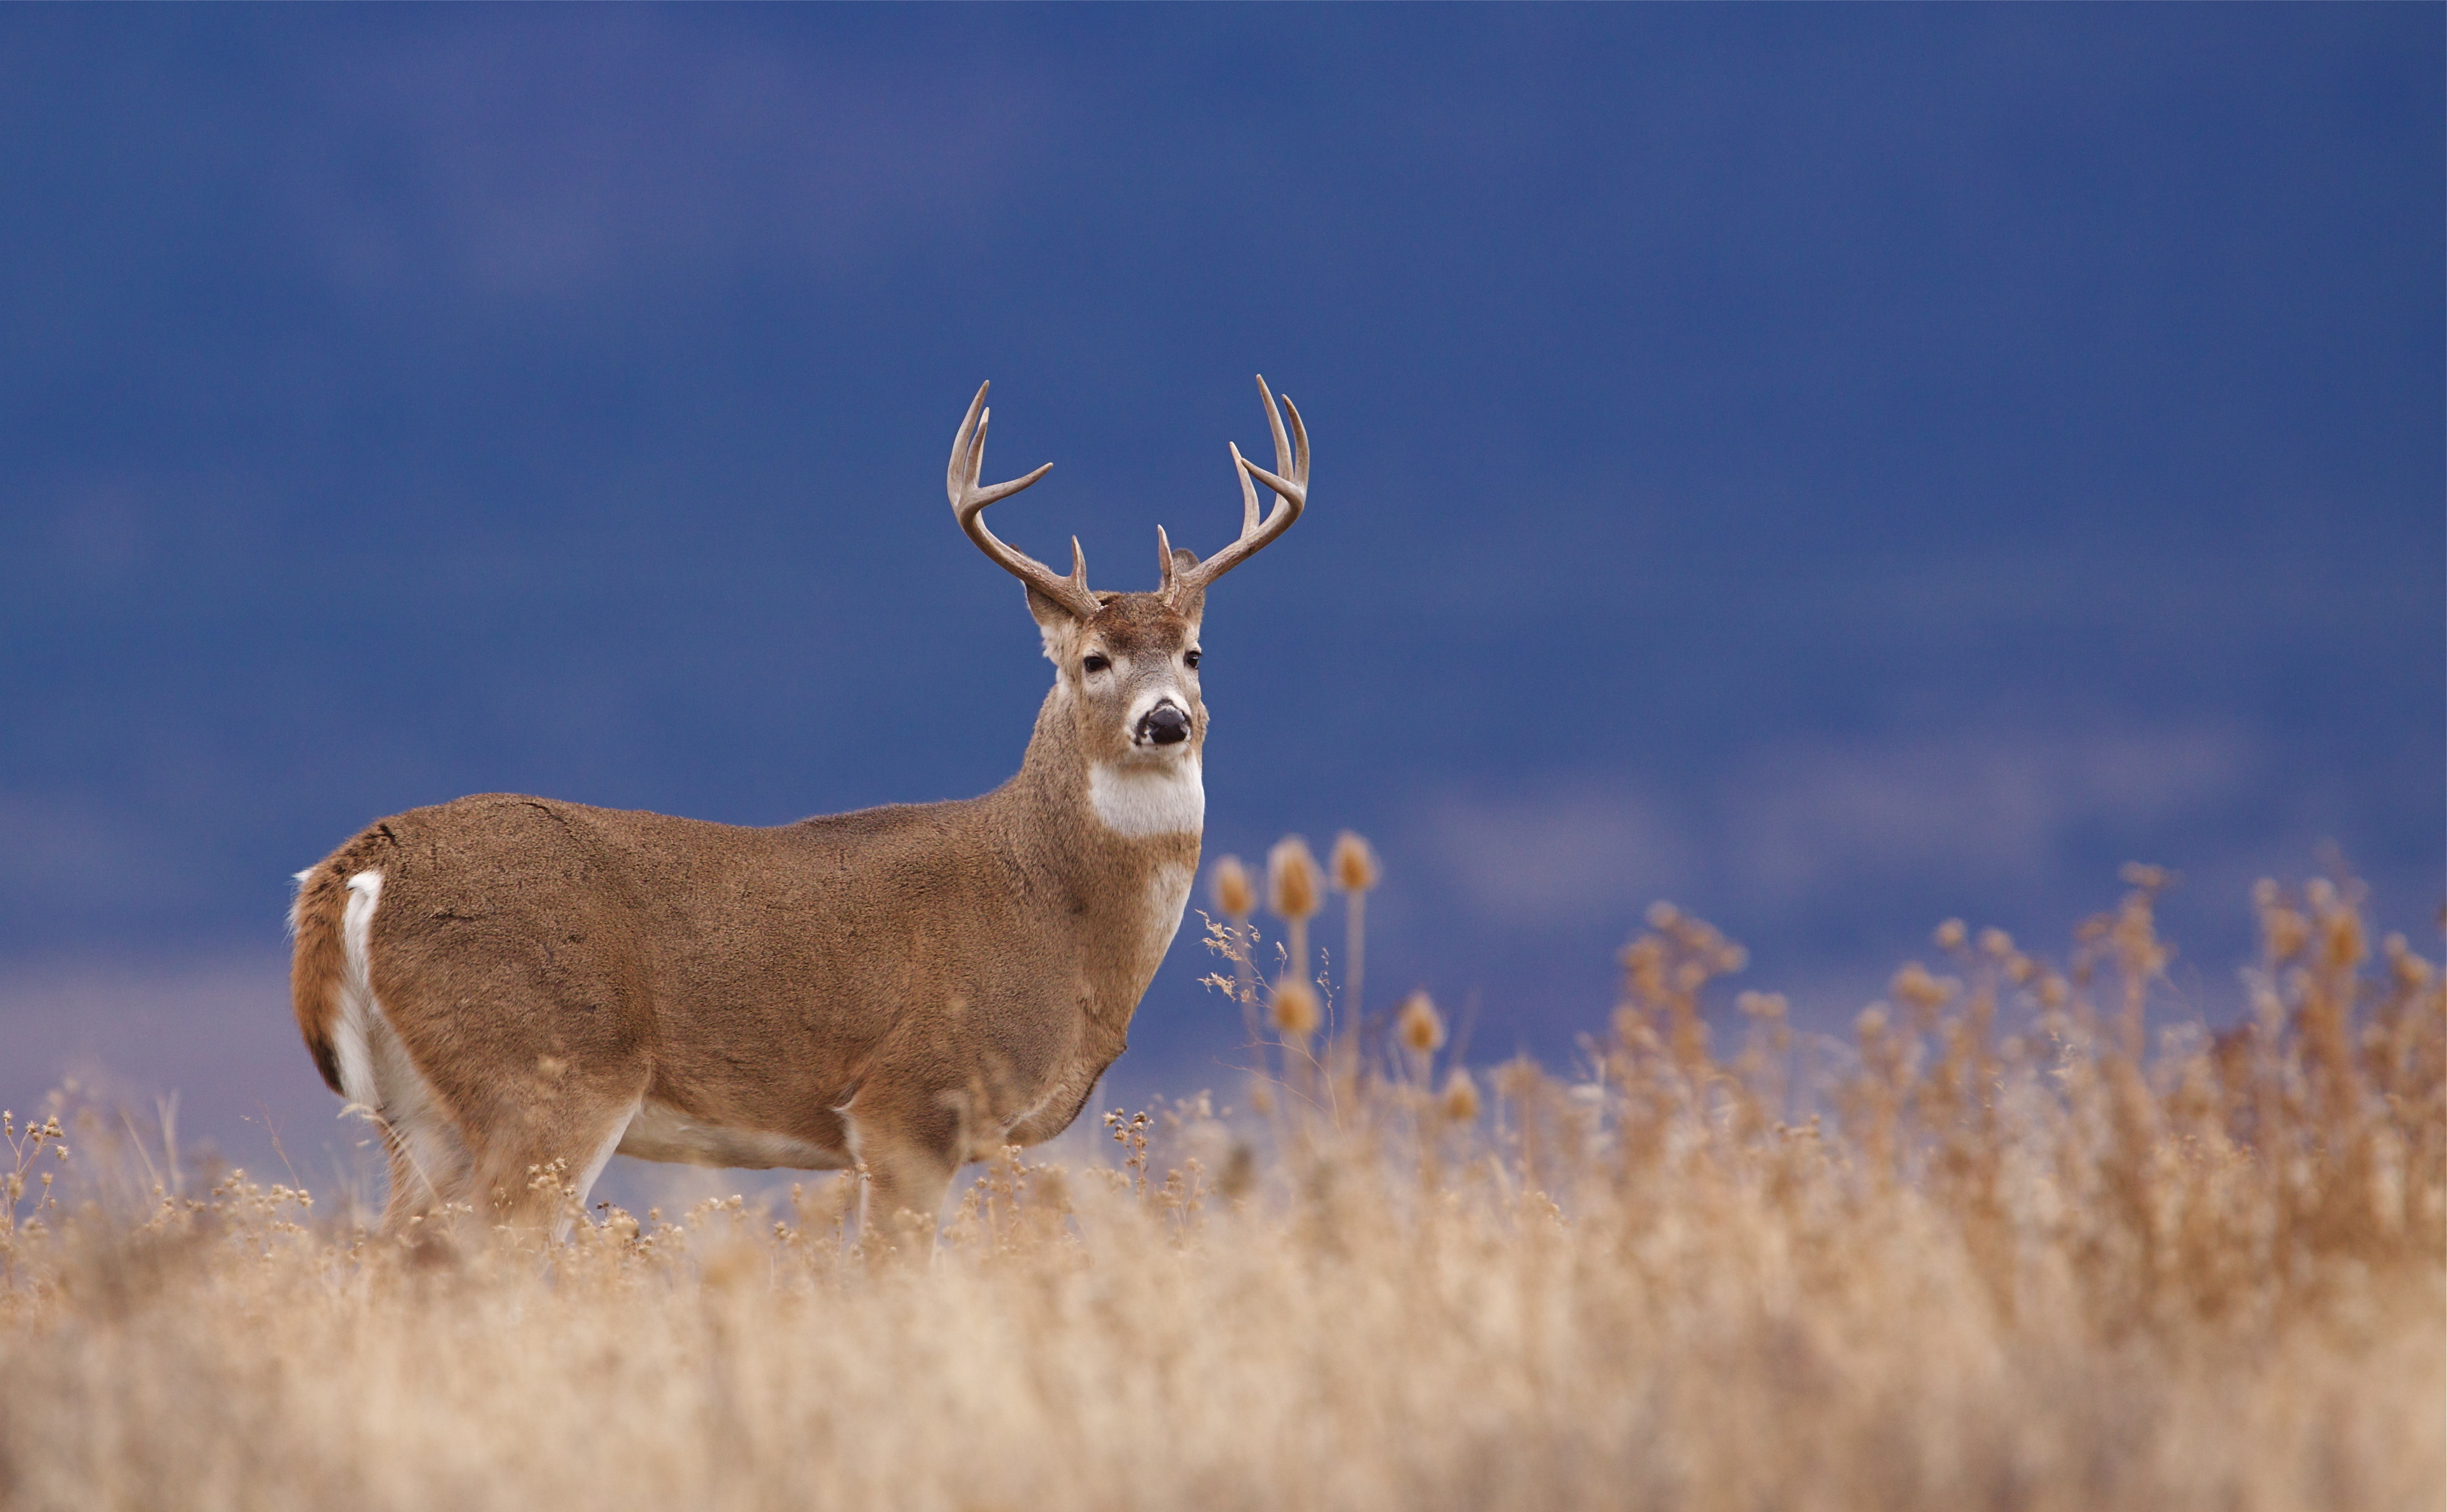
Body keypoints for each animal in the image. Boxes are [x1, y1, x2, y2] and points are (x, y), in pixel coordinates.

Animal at [293, 374, 1311, 1238]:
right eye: (1093, 659)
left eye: (1194, 655)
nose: (1165, 720)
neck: (1056, 911)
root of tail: (359, 867)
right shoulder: (909, 1102)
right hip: (544, 1075)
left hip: (417, 1117)